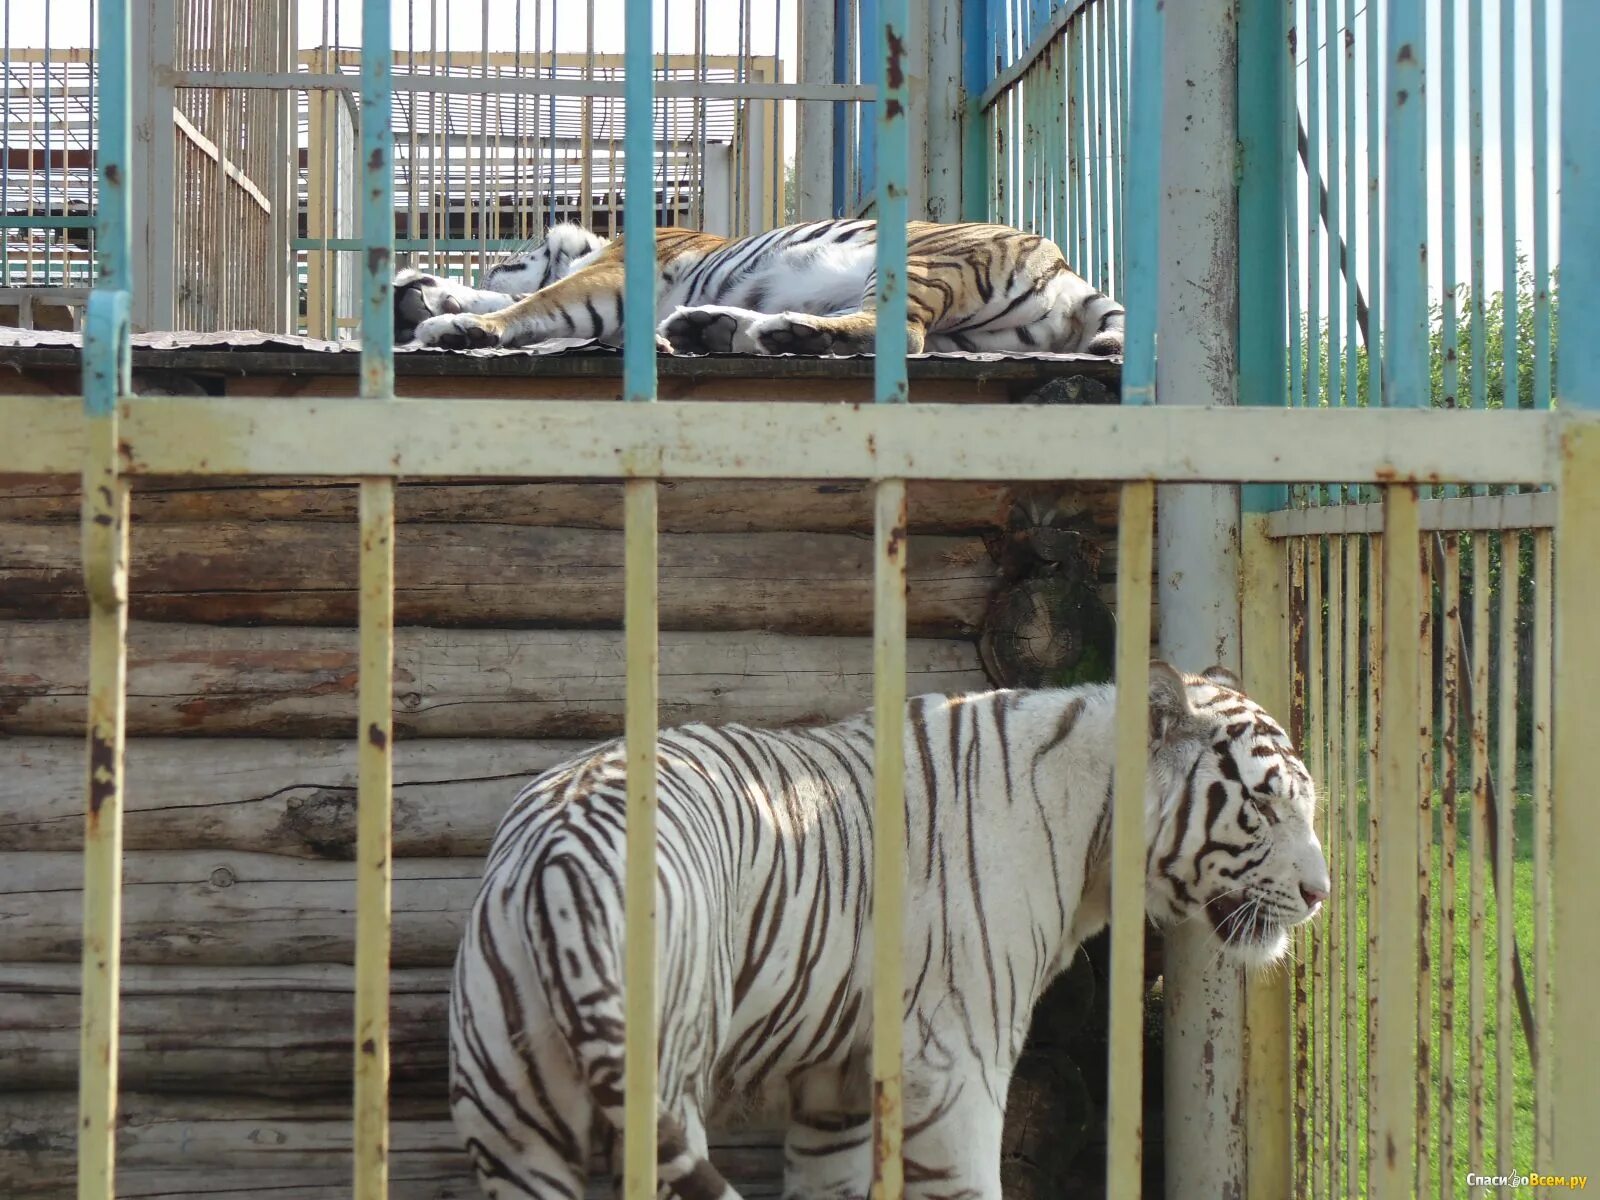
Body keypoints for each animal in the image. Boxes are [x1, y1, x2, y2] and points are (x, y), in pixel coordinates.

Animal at [451, 668, 1324, 1200]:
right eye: (1264, 803)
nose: (1320, 894)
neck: (1097, 841)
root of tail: (562, 848)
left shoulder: (836, 1091)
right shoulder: (958, 1066)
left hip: (514, 1135)